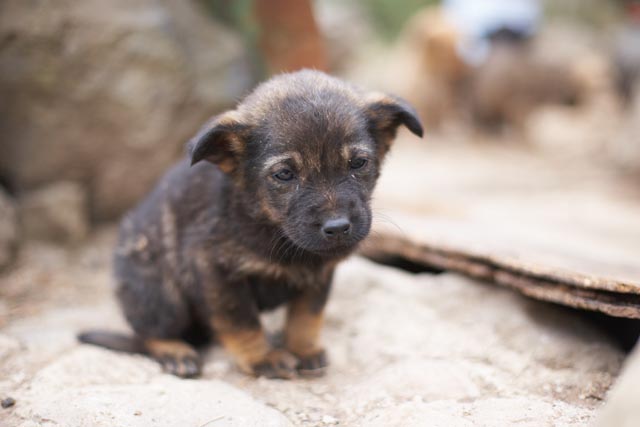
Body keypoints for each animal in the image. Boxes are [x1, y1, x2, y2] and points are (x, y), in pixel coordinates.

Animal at [77, 71, 422, 382]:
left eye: (358, 163)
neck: (269, 226)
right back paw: (176, 352)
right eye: (284, 174)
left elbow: (306, 316)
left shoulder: (318, 274)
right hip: (160, 295)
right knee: (148, 333)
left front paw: (302, 349)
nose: (337, 228)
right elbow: (242, 322)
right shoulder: (216, 273)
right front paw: (262, 359)